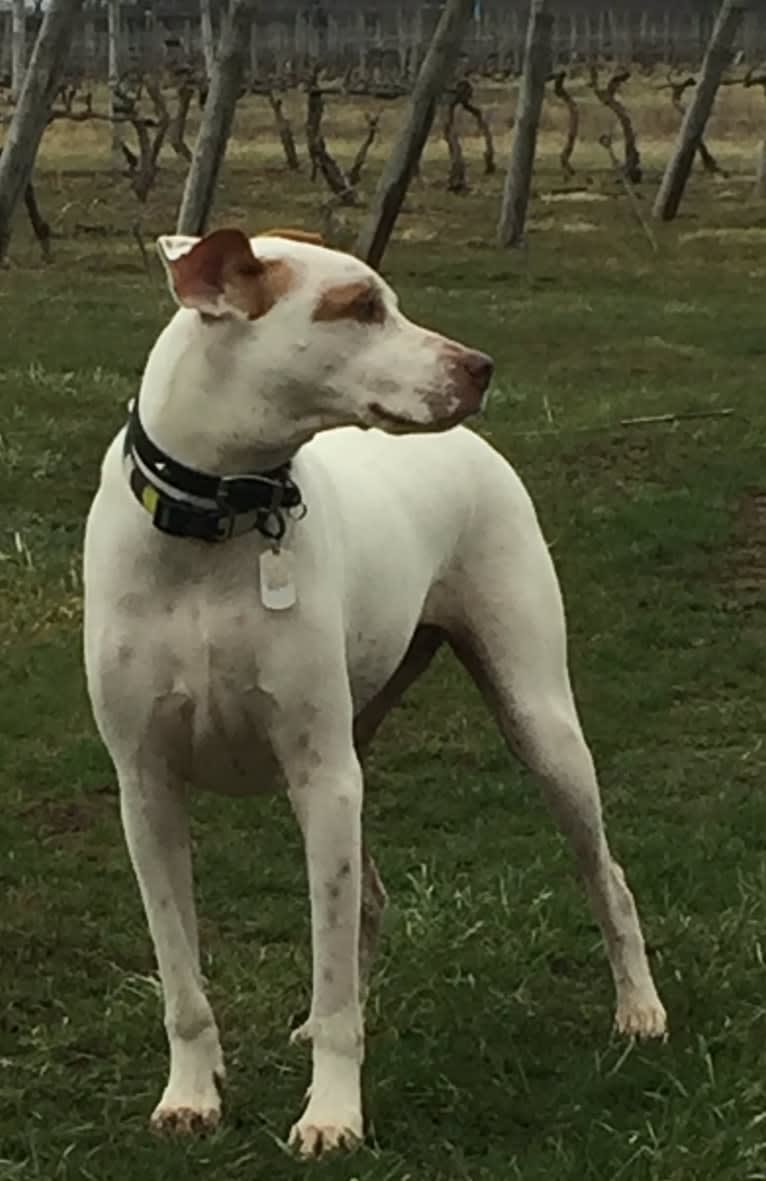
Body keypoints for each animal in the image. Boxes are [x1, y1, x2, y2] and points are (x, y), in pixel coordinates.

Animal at [83, 225, 660, 1157]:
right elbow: (183, 978)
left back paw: (640, 1007)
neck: (215, 528)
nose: (480, 366)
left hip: (539, 724)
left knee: (604, 873)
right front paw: (191, 1094)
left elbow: (331, 971)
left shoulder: (322, 776)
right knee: (369, 903)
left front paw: (331, 1112)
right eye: (357, 307)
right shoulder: (147, 788)